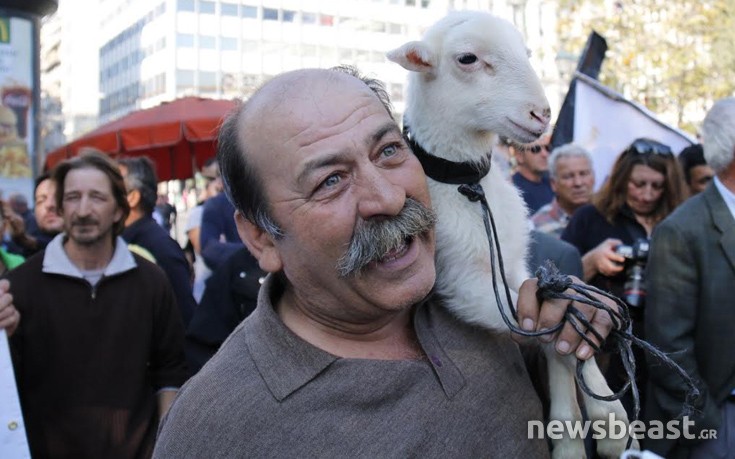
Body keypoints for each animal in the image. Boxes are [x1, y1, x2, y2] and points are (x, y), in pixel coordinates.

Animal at [388, 10, 636, 459]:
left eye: (527, 53)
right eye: (467, 58)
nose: (542, 114)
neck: (469, 188)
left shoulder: (515, 266)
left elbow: (563, 313)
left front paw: (605, 418)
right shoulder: (462, 284)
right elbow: (550, 327)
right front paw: (589, 429)